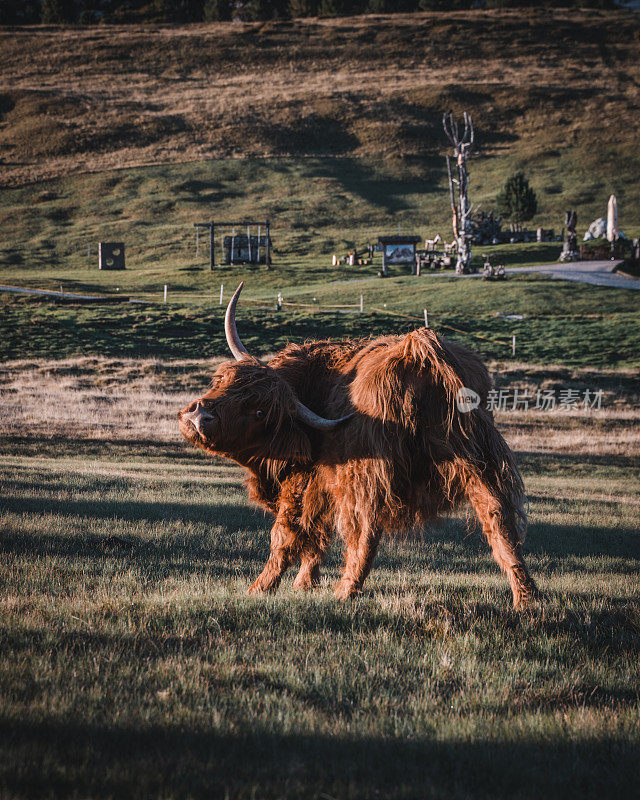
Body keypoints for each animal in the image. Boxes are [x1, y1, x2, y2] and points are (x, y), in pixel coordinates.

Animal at [178, 284, 536, 608]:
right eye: (223, 381)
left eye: (259, 411)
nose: (198, 416)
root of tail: (419, 351)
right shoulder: (320, 487)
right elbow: (315, 537)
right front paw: (303, 584)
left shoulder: (305, 482)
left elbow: (287, 535)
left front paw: (261, 589)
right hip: (478, 460)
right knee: (499, 519)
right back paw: (526, 598)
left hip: (368, 473)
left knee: (365, 529)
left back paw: (345, 591)